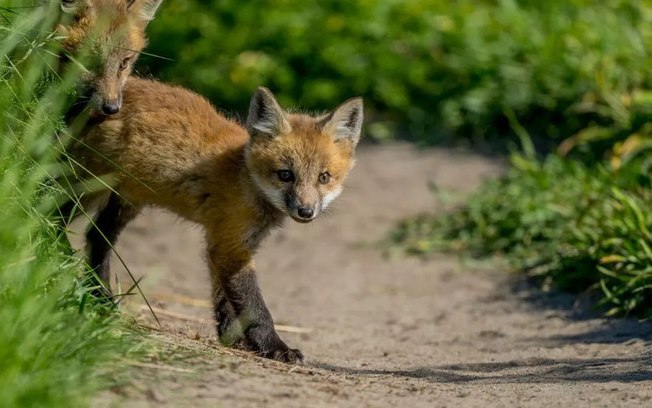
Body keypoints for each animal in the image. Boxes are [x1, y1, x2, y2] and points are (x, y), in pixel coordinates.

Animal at [69, 77, 364, 364]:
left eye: (324, 177)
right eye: (285, 175)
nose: (306, 211)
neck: (244, 178)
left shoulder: (223, 243)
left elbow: (224, 300)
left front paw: (232, 339)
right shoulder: (231, 247)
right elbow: (254, 307)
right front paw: (275, 347)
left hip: (126, 201)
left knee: (96, 237)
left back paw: (100, 296)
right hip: (86, 190)